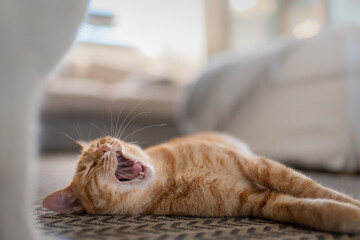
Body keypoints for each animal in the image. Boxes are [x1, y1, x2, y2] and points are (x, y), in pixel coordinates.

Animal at [43, 132, 360, 233]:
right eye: (87, 169)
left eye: (100, 143)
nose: (104, 150)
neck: (171, 175)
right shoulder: (258, 201)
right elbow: (311, 208)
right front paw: (349, 217)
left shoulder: (258, 166)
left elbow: (311, 187)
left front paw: (352, 202)